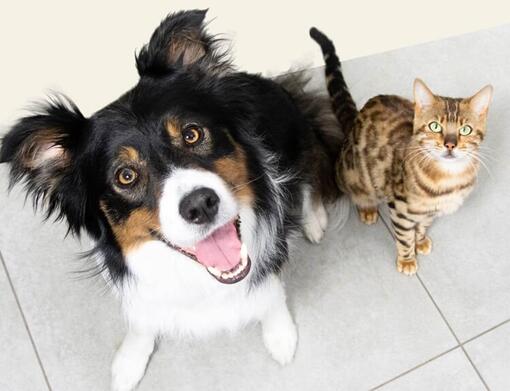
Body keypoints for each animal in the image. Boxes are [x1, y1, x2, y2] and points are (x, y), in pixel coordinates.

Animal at [0, 9, 342, 391]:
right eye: (125, 176)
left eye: (192, 134)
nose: (200, 204)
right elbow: (141, 319)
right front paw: (129, 362)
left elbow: (269, 293)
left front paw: (280, 335)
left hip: (296, 132)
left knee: (311, 170)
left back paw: (313, 220)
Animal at [308, 26, 492, 276]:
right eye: (435, 126)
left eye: (466, 129)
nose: (450, 144)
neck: (448, 181)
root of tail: (355, 120)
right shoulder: (400, 208)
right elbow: (404, 237)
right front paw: (407, 260)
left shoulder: (429, 212)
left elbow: (422, 226)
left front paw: (421, 240)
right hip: (353, 175)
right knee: (357, 192)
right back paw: (367, 208)